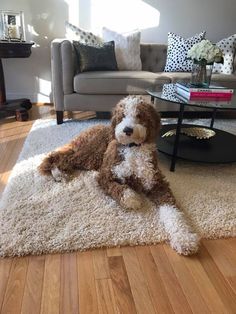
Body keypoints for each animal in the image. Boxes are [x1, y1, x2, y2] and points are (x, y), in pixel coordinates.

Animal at [39, 95, 199, 255]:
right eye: (122, 116)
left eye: (139, 115)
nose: (127, 129)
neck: (133, 148)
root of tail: (94, 127)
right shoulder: (105, 176)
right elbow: (120, 189)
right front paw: (133, 199)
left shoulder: (156, 183)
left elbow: (173, 211)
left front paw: (184, 238)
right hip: (89, 155)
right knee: (59, 157)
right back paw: (58, 173)